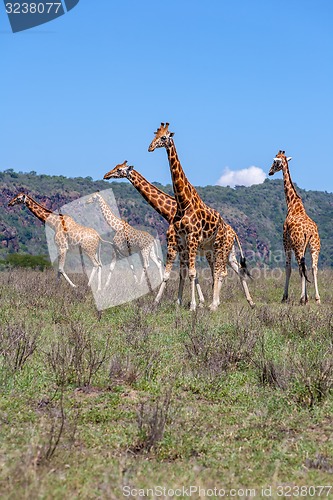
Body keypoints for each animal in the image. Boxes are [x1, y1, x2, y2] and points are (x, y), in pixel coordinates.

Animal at [104, 162, 254, 306]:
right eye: (115, 167)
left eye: (119, 169)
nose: (106, 175)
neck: (170, 212)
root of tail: (233, 232)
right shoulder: (184, 248)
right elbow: (188, 273)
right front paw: (194, 302)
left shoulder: (174, 244)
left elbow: (184, 273)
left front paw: (192, 302)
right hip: (226, 253)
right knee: (236, 269)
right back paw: (249, 302)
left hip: (218, 251)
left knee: (221, 271)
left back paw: (216, 302)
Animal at [148, 121, 231, 310]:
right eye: (155, 135)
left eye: (164, 137)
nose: (150, 147)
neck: (182, 202)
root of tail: (224, 223)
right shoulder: (182, 241)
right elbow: (183, 273)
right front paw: (171, 302)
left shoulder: (192, 238)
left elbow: (192, 273)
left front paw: (193, 305)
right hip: (208, 247)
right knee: (216, 271)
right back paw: (213, 303)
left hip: (218, 245)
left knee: (219, 271)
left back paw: (214, 304)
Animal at [268, 150, 320, 302]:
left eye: (275, 162)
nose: (270, 172)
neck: (292, 205)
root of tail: (309, 231)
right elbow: (303, 268)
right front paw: (307, 296)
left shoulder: (285, 242)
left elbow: (288, 268)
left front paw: (285, 297)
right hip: (314, 246)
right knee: (313, 267)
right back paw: (317, 298)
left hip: (298, 246)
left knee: (301, 267)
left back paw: (302, 298)